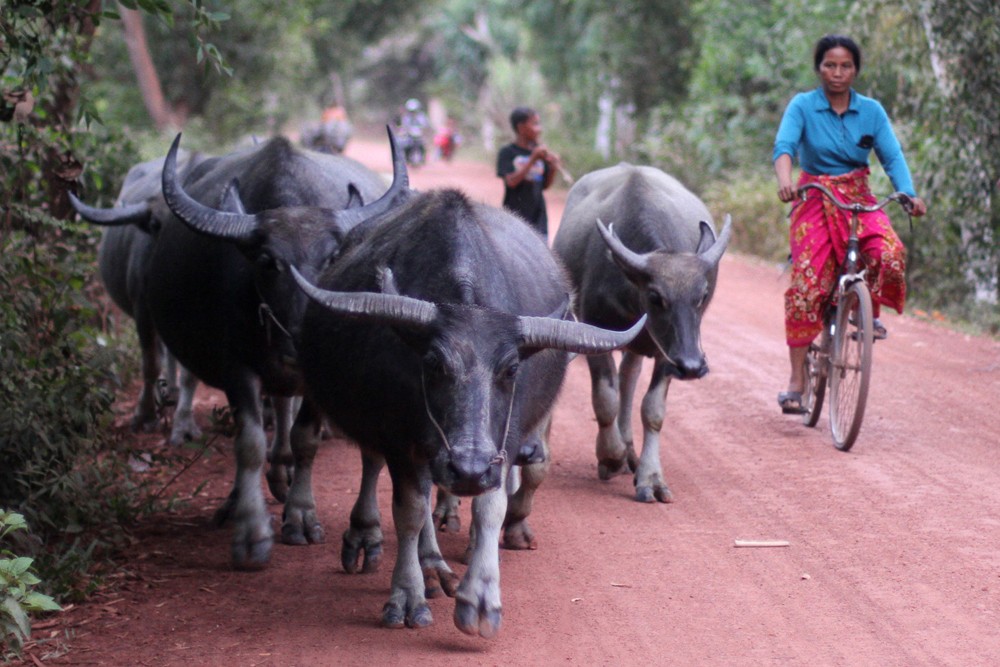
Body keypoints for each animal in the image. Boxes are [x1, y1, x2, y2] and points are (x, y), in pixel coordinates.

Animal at [151, 132, 406, 568]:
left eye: (332, 257)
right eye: (269, 261)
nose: (300, 344)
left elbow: (306, 439)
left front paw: (300, 517)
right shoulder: (237, 369)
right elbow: (249, 443)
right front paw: (251, 533)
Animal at [292, 188, 644, 636]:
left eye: (511, 369)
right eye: (433, 364)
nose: (469, 469)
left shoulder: (503, 444)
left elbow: (490, 508)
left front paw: (480, 597)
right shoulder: (399, 438)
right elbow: (409, 511)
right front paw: (407, 594)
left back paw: (432, 564)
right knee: (379, 470)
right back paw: (385, 547)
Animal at [552, 164, 732, 504]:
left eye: (702, 296)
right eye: (655, 296)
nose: (693, 366)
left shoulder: (668, 352)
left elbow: (652, 410)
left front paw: (651, 477)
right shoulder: (593, 333)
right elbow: (605, 399)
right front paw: (610, 457)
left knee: (629, 376)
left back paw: (631, 452)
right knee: (623, 380)